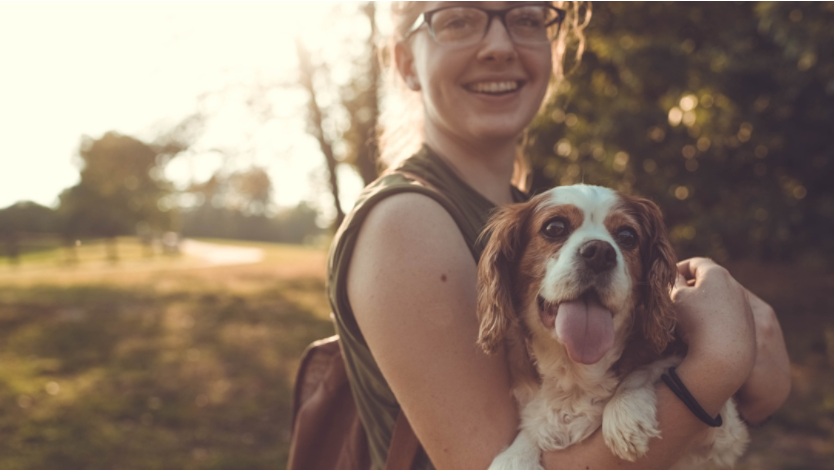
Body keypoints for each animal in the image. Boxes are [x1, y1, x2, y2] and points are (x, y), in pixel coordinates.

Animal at [474, 185, 748, 468]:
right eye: (554, 227)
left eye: (627, 236)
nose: (599, 252)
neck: (576, 372)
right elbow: (533, 428)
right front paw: (515, 456)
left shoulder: (725, 436)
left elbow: (650, 368)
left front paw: (625, 411)